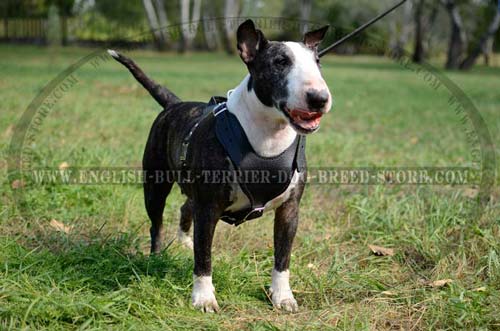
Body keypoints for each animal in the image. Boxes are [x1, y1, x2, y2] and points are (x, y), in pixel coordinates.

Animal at [111, 18, 334, 314]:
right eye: (280, 62)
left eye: (317, 61)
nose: (319, 98)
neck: (268, 136)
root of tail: (175, 104)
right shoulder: (208, 208)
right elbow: (204, 256)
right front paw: (204, 299)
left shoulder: (290, 208)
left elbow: (282, 257)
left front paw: (282, 297)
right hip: (155, 186)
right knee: (156, 223)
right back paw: (156, 257)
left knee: (185, 207)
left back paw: (184, 242)